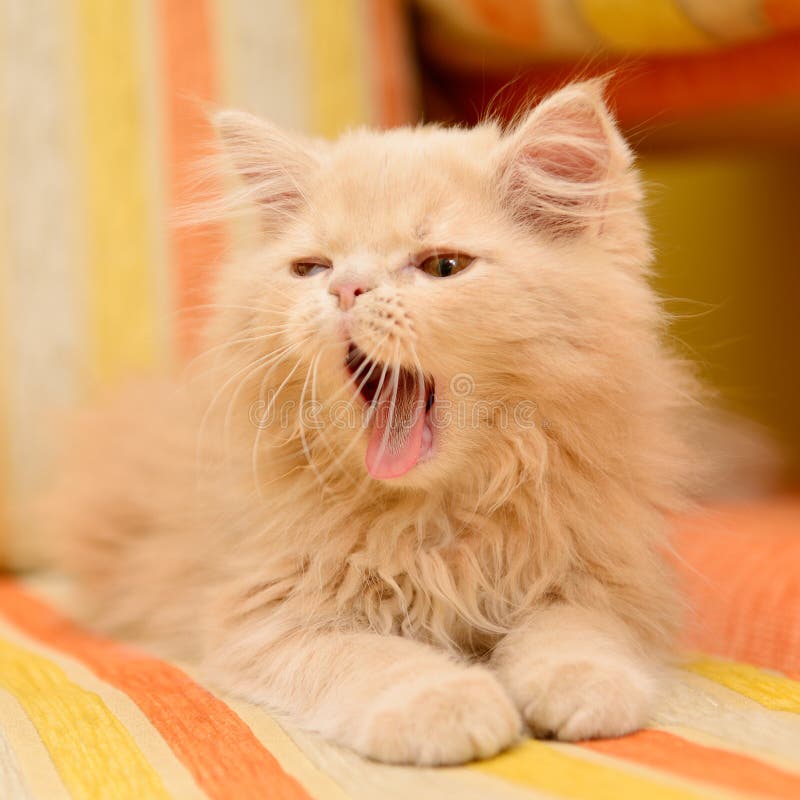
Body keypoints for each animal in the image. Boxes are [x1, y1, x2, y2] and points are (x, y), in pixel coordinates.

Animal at [53, 83, 708, 768]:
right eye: (312, 268)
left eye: (444, 266)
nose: (346, 288)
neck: (437, 519)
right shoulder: (270, 612)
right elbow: (375, 660)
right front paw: (447, 704)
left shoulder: (601, 574)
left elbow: (576, 632)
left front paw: (584, 686)